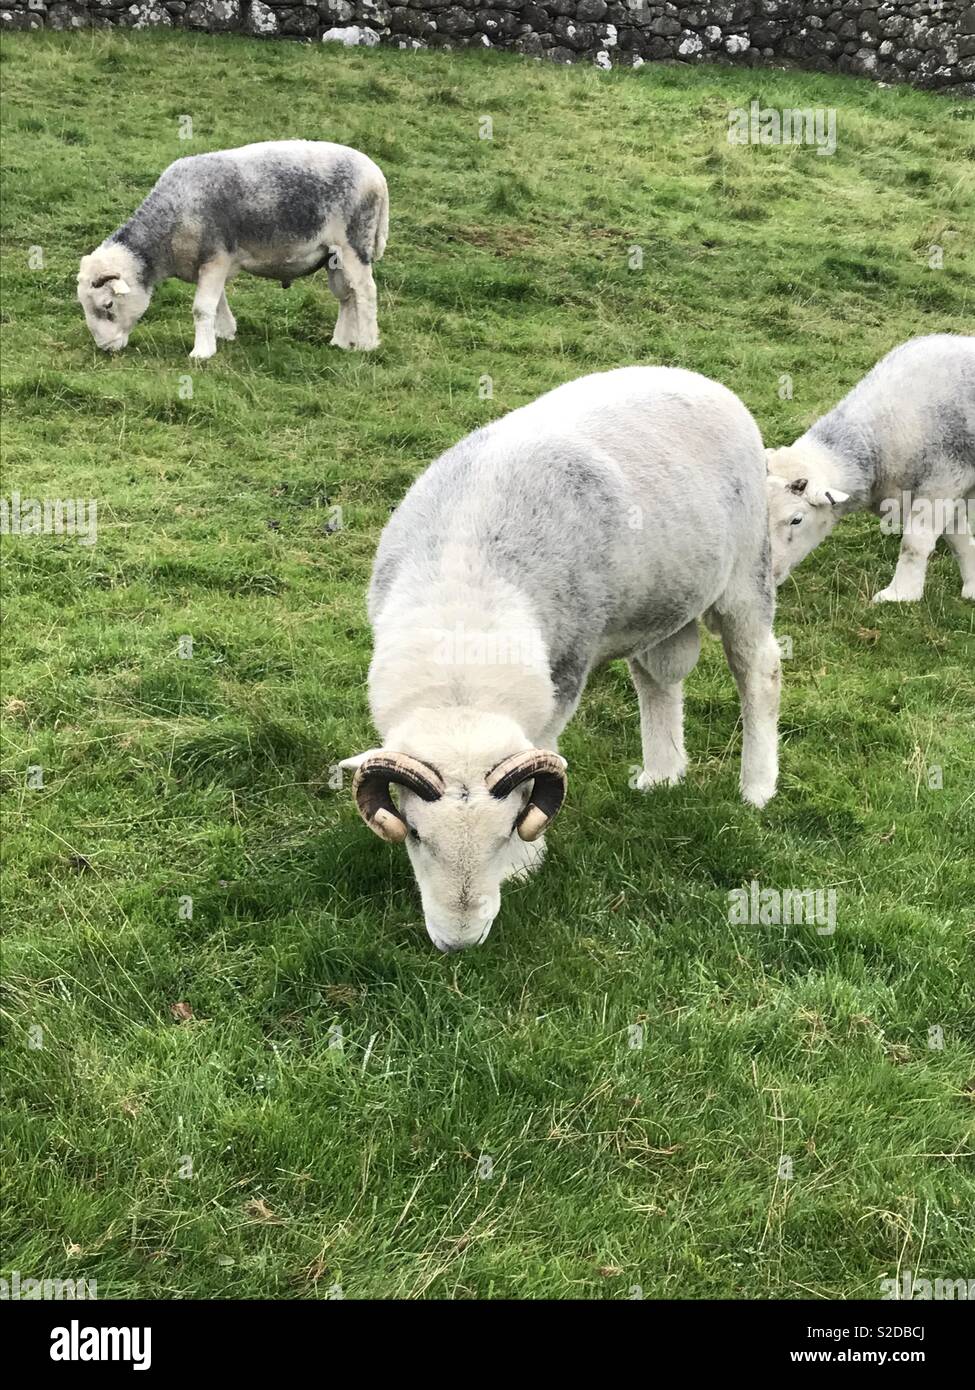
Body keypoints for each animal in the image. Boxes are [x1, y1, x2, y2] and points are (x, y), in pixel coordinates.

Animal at [77, 140, 388, 359]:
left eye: (107, 305)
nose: (105, 347)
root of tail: (377, 175)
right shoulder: (211, 263)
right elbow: (217, 302)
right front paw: (224, 333)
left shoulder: (215, 257)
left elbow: (201, 308)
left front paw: (201, 353)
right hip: (333, 256)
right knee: (347, 296)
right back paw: (340, 342)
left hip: (354, 243)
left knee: (366, 292)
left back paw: (367, 344)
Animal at [341, 366, 782, 953]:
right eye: (414, 834)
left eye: (507, 830)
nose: (460, 943)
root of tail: (696, 376)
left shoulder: (566, 671)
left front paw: (526, 864)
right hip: (659, 603)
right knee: (657, 681)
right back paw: (661, 775)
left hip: (747, 577)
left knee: (759, 672)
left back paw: (757, 787)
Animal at [766, 335, 975, 602]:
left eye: (796, 520)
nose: (766, 576)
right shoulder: (951, 490)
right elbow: (960, 541)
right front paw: (973, 587)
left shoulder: (943, 480)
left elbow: (914, 543)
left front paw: (900, 595)